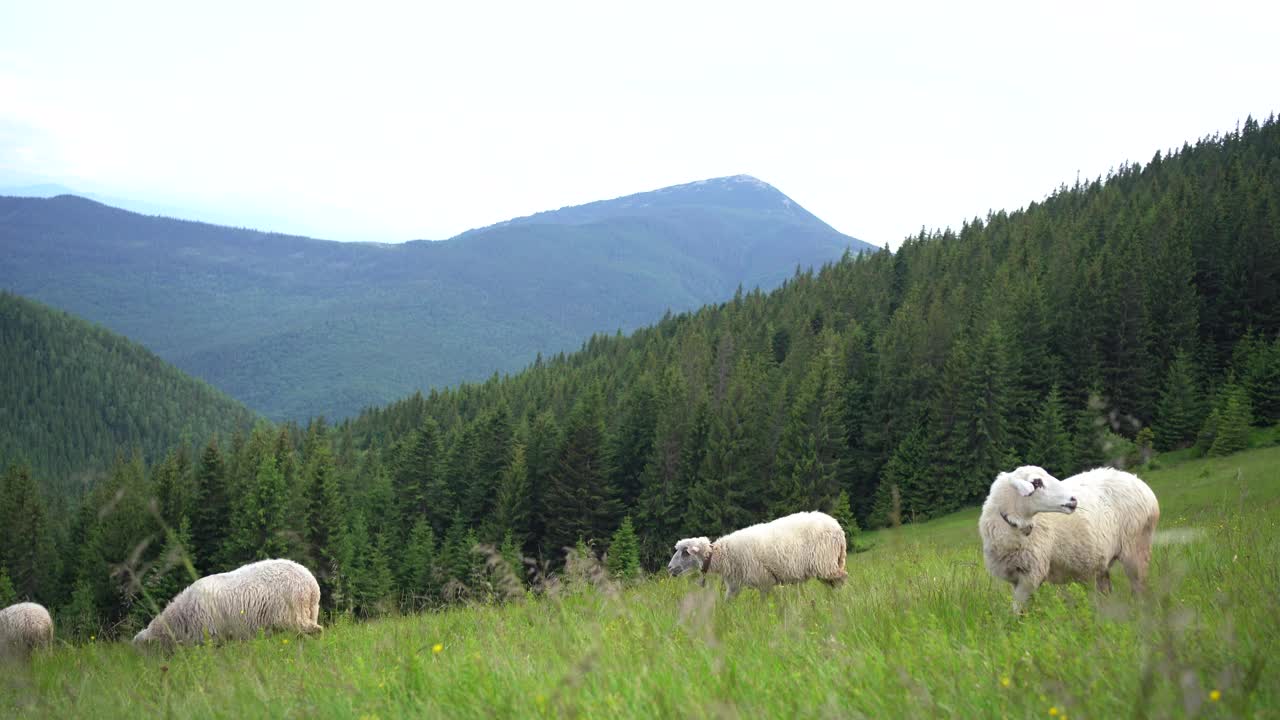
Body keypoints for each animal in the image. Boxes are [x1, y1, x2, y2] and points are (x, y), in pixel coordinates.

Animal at [670, 507, 849, 597]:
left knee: (841, 579)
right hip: (829, 564)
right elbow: (727, 603)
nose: (669, 568)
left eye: (685, 552)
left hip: (825, 562)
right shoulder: (734, 585)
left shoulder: (764, 580)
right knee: (834, 583)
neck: (722, 556)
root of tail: (838, 528)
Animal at [977, 466, 1162, 609]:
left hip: (1137, 546)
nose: (1073, 499)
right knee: (1106, 592)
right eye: (1037, 483)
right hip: (1102, 565)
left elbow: (1017, 609)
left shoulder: (1031, 575)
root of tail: (1139, 482)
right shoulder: (1016, 577)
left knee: (1139, 588)